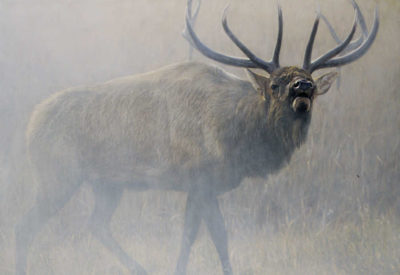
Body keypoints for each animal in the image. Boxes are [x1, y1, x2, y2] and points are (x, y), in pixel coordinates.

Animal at [14, 0, 378, 274]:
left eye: (312, 85)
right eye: (275, 84)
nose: (303, 87)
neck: (238, 138)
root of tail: (31, 123)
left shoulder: (197, 186)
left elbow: (190, 236)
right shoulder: (202, 178)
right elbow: (218, 236)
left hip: (108, 183)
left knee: (95, 224)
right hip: (58, 174)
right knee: (26, 226)